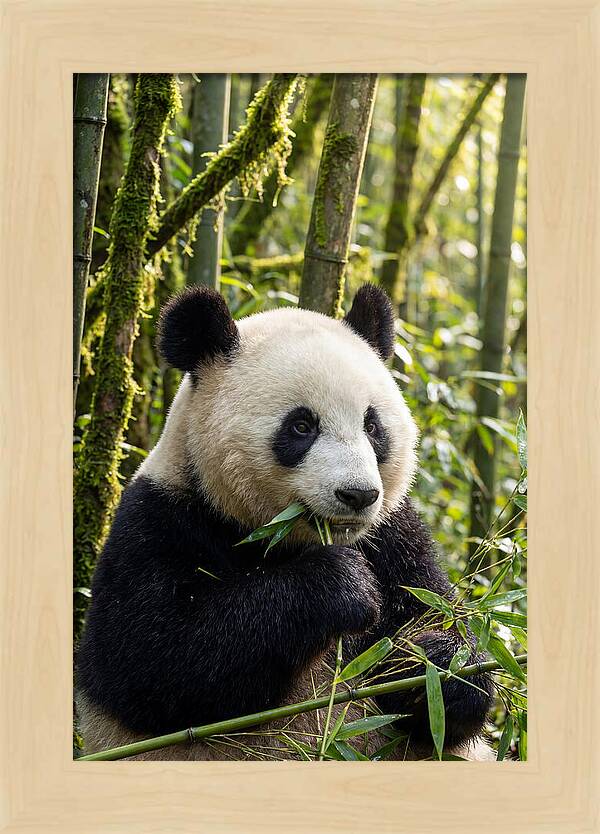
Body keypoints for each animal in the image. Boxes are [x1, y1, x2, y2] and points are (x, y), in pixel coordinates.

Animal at [76, 283, 494, 761]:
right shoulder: (158, 522)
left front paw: (432, 664)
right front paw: (342, 585)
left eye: (372, 426)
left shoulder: (394, 536)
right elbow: (157, 661)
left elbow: (443, 639)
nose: (357, 495)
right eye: (301, 426)